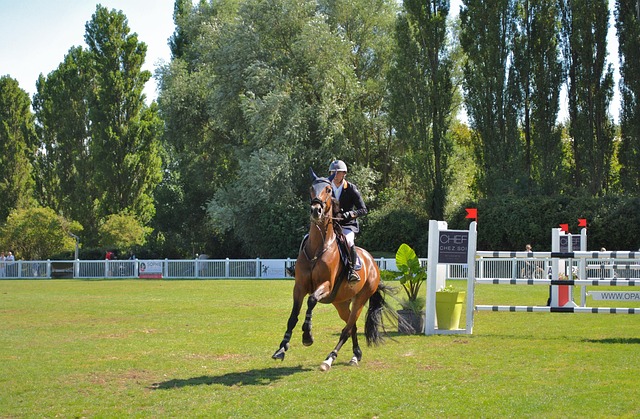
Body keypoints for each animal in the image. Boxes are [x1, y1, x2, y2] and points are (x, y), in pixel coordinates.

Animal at [271, 170, 395, 371]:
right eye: (311, 188)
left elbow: (312, 301)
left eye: (328, 190)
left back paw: (329, 359)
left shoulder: (326, 285)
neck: (318, 246)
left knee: (347, 329)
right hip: (341, 303)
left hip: (360, 299)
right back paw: (356, 355)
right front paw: (282, 348)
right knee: (352, 327)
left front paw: (307, 336)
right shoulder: (299, 287)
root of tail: (373, 263)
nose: (316, 210)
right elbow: (293, 316)